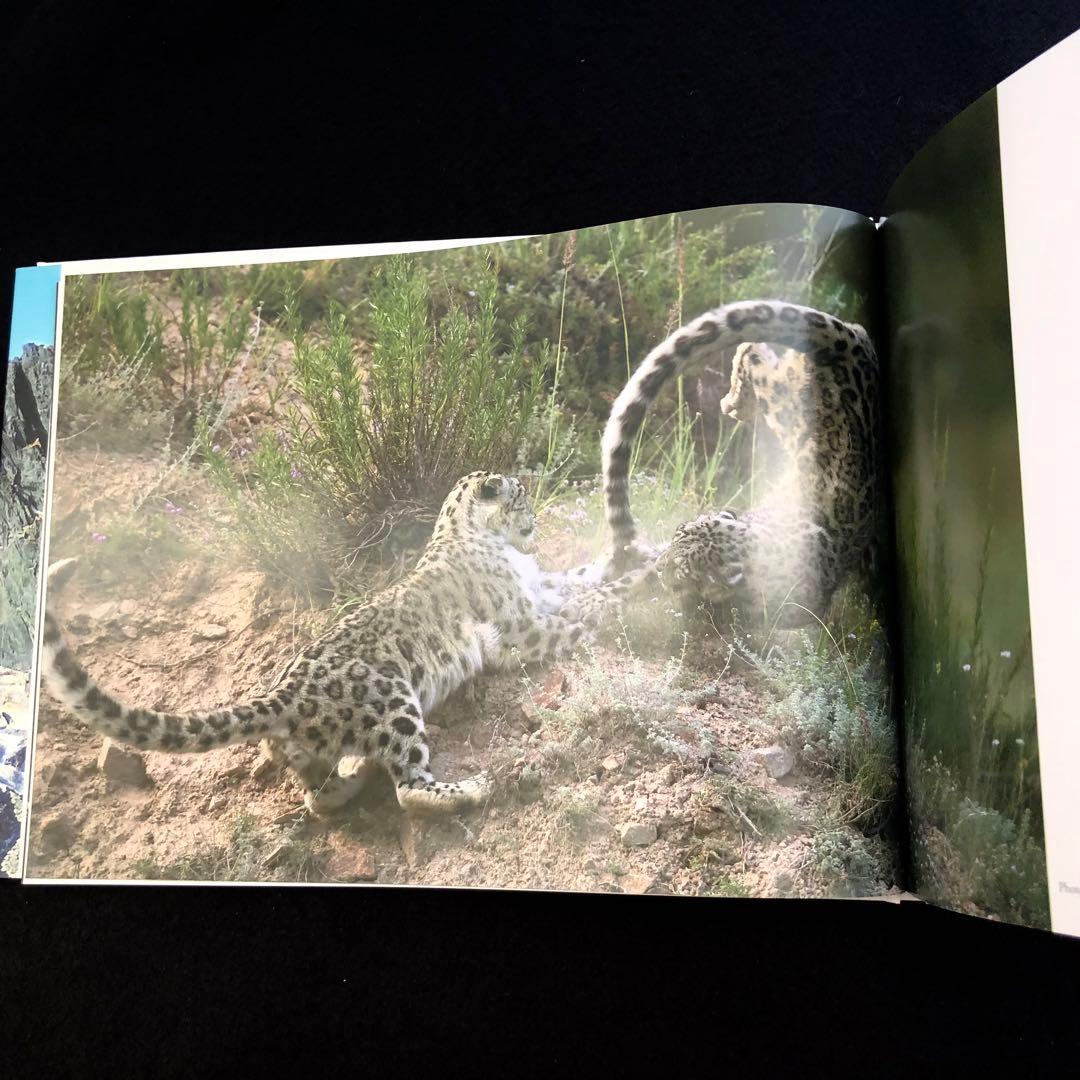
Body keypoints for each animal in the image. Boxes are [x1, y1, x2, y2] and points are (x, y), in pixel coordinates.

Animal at [39, 471, 654, 820]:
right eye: (521, 497)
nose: (535, 521)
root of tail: (283, 695)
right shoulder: (522, 625)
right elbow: (586, 607)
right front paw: (647, 583)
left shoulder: (541, 588)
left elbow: (582, 578)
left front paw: (629, 557)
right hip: (395, 700)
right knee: (409, 787)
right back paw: (473, 787)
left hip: (321, 752)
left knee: (317, 797)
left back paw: (353, 776)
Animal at [600, 299, 881, 627]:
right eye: (680, 531)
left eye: (683, 570)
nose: (659, 565)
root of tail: (852, 344)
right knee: (752, 349)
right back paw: (734, 401)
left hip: (786, 408)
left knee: (757, 355)